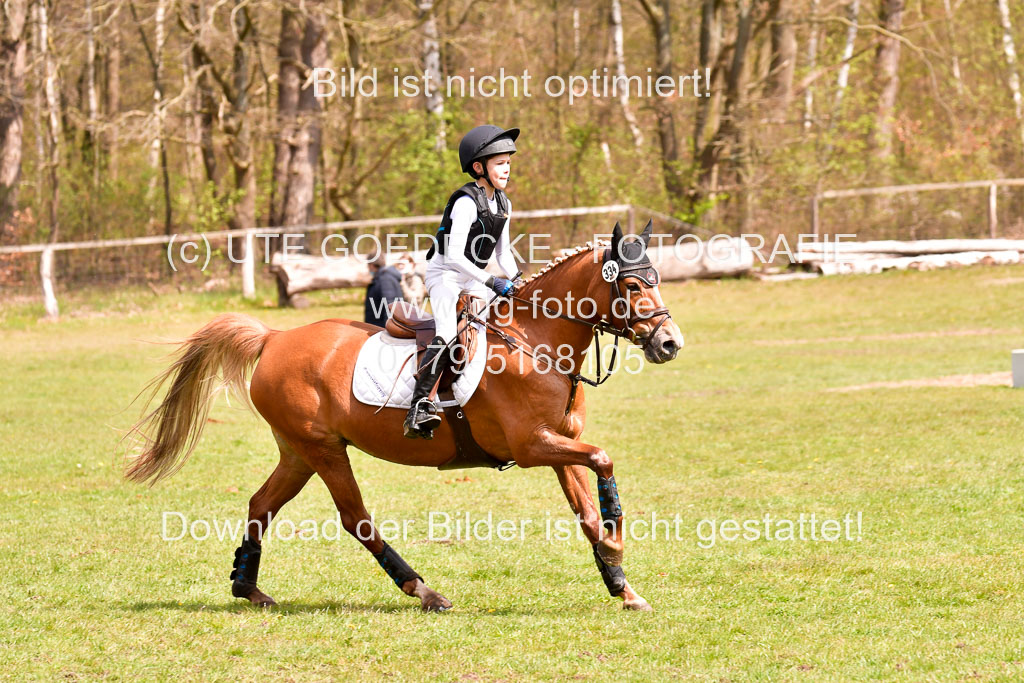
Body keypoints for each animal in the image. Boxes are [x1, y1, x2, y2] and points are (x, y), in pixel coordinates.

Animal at [130, 222, 688, 610]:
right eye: (633, 288)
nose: (670, 343)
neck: (536, 341)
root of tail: (275, 337)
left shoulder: (559, 445)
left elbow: (587, 510)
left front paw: (621, 583)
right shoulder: (532, 445)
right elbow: (604, 460)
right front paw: (617, 536)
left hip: (298, 451)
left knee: (261, 504)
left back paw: (248, 588)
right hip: (322, 449)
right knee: (355, 519)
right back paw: (424, 591)